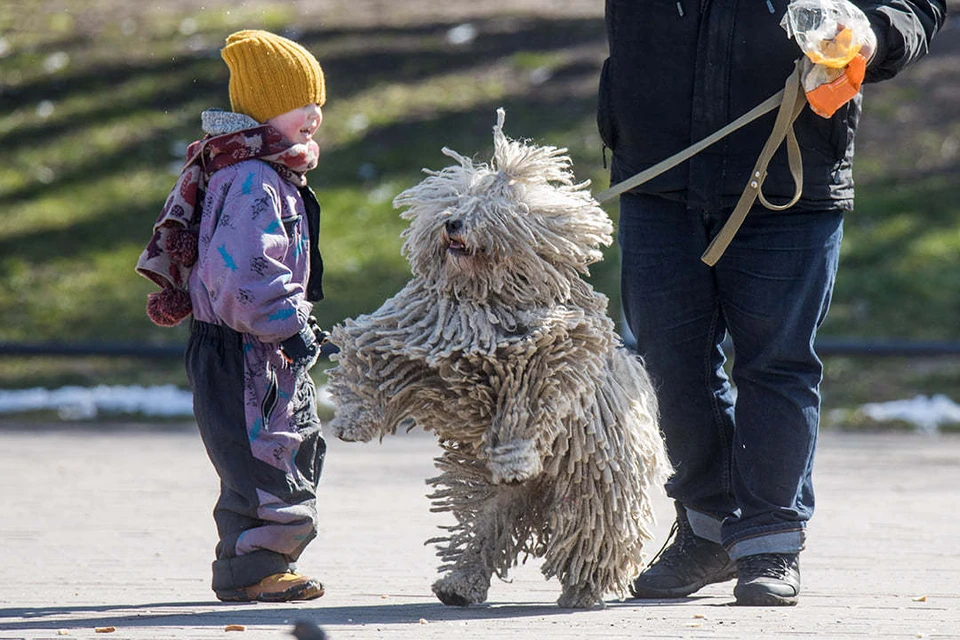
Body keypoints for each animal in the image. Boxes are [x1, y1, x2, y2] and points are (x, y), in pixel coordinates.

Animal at [326, 110, 672, 608]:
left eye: (491, 207)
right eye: (456, 200)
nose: (452, 224)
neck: (481, 303)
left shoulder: (543, 361)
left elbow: (525, 409)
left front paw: (514, 459)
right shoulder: (412, 339)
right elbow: (367, 356)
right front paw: (352, 421)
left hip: (595, 483)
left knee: (594, 534)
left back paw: (583, 589)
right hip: (484, 490)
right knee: (483, 529)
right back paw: (460, 583)